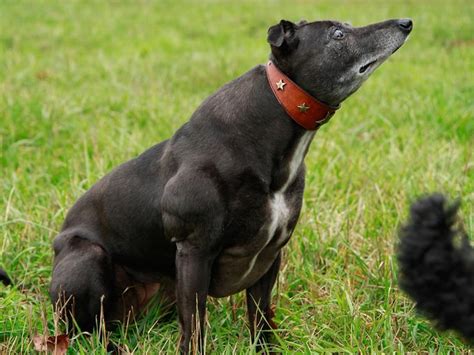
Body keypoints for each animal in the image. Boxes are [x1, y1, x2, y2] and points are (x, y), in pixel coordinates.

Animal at [49, 18, 412, 354]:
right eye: (338, 35)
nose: (405, 22)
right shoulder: (195, 252)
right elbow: (195, 326)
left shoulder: (270, 254)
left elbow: (261, 318)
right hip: (88, 260)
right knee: (88, 331)